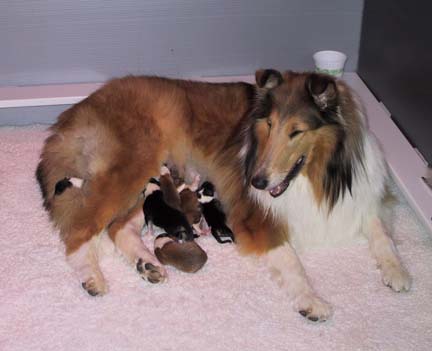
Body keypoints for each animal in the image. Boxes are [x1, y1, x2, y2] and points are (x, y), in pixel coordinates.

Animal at [36, 70, 408, 324]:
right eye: (268, 125)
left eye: (296, 132)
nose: (256, 182)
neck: (317, 176)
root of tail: (80, 106)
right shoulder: (256, 218)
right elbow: (291, 261)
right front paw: (311, 300)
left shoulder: (365, 198)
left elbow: (382, 233)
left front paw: (398, 272)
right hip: (131, 167)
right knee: (79, 230)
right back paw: (92, 277)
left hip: (145, 182)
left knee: (118, 228)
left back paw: (147, 264)